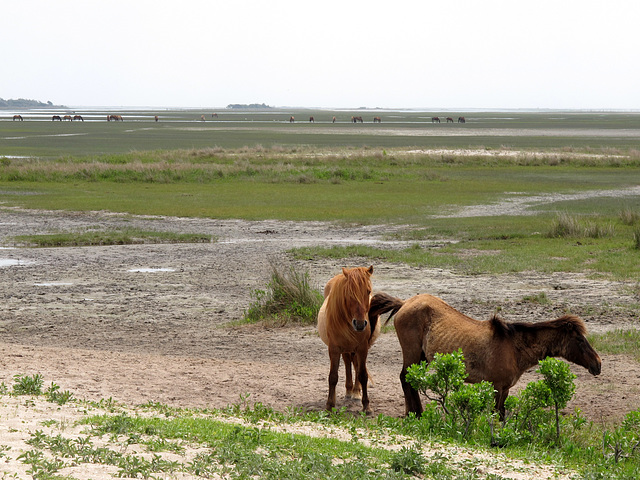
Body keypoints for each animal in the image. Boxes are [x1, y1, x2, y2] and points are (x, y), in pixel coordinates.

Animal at [316, 266, 380, 412]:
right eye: (350, 293)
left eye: (368, 291)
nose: (360, 324)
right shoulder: (334, 349)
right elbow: (333, 376)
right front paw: (329, 405)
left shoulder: (362, 349)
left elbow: (362, 375)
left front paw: (366, 406)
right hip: (345, 349)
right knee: (347, 364)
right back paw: (349, 391)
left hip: (355, 350)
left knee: (355, 366)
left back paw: (356, 393)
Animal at [368, 290, 604, 418]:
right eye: (580, 339)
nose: (598, 364)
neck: (513, 347)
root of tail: (404, 303)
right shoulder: (497, 388)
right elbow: (497, 415)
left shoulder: (505, 389)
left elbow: (501, 416)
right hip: (412, 354)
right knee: (405, 379)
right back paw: (416, 414)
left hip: (422, 358)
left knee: (410, 380)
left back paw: (414, 413)